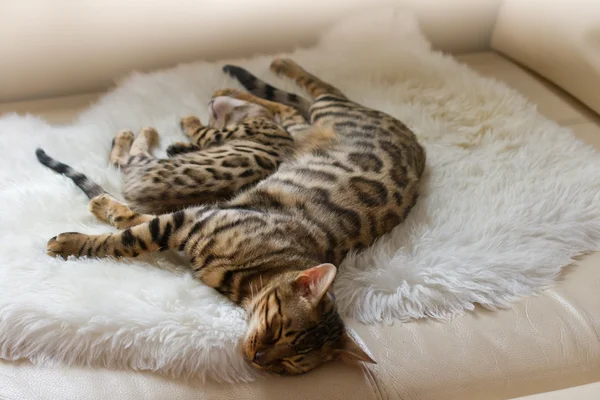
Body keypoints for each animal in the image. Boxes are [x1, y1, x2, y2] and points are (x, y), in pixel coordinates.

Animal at [42, 58, 426, 376]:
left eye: (290, 363)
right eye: (278, 327)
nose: (258, 359)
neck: (248, 280)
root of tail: (415, 140)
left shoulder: (188, 221)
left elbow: (131, 229)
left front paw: (96, 217)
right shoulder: (191, 219)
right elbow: (128, 235)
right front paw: (79, 234)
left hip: (301, 127)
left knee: (292, 106)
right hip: (325, 113)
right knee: (310, 94)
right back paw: (258, 77)